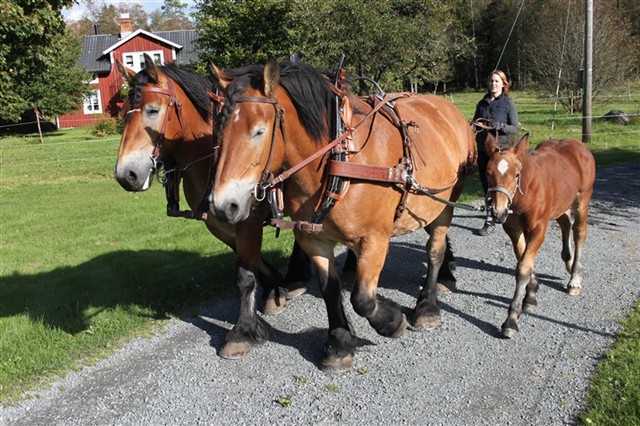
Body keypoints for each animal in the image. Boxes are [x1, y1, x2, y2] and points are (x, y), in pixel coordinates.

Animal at [115, 53, 318, 360]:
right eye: (125, 110)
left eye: (152, 110)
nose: (125, 175)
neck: (208, 156)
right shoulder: (218, 222)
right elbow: (250, 263)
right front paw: (274, 288)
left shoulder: (246, 220)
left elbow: (244, 274)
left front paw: (242, 332)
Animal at [210, 60, 476, 372]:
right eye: (219, 129)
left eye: (259, 131)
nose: (222, 205)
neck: (340, 161)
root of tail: (447, 108)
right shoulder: (313, 239)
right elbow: (330, 290)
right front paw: (339, 343)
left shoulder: (375, 239)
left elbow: (362, 299)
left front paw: (391, 321)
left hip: (445, 203)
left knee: (434, 250)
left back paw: (427, 306)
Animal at [488, 134, 596, 340]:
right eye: (489, 173)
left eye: (516, 174)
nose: (498, 212)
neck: (526, 192)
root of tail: (579, 145)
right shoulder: (513, 229)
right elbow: (523, 260)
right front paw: (531, 294)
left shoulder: (538, 229)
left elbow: (523, 268)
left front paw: (511, 320)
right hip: (561, 202)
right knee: (565, 222)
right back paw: (570, 262)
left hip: (582, 198)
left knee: (579, 232)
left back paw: (574, 279)